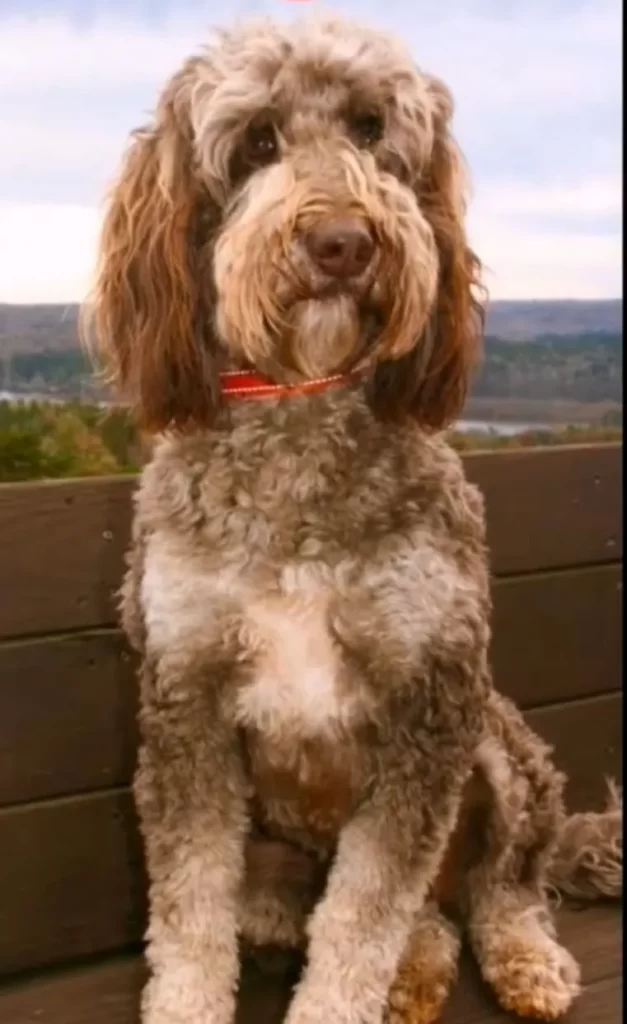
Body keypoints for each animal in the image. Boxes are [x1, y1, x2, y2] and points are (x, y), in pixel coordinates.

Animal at [84, 16, 622, 1024]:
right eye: (257, 141)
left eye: (373, 130)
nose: (342, 243)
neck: (300, 413)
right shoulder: (186, 707)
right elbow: (189, 918)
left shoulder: (427, 703)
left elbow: (362, 918)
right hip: (282, 861)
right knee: (413, 913)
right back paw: (419, 966)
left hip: (497, 748)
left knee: (499, 885)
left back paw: (519, 955)